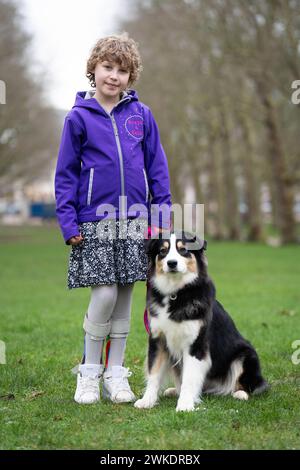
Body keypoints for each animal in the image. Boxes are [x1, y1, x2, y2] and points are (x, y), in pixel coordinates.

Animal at [135, 230, 268, 412]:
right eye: (163, 251)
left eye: (183, 249)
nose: (171, 263)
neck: (176, 293)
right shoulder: (158, 340)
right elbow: (154, 373)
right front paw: (147, 400)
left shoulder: (196, 344)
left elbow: (189, 378)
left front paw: (185, 404)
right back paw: (173, 391)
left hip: (246, 354)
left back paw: (240, 393)